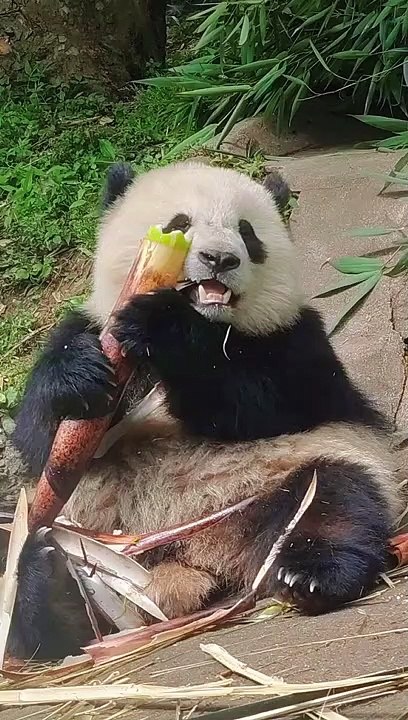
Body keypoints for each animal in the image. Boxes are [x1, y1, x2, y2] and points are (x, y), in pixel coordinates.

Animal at [8, 160, 401, 661]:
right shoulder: (93, 325)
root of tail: (190, 562)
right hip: (80, 530)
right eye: (179, 223)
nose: (220, 259)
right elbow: (40, 436)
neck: (211, 320)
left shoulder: (298, 340)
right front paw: (77, 373)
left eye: (248, 233)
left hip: (285, 475)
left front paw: (163, 327)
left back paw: (310, 575)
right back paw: (45, 585)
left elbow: (267, 401)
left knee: (333, 501)